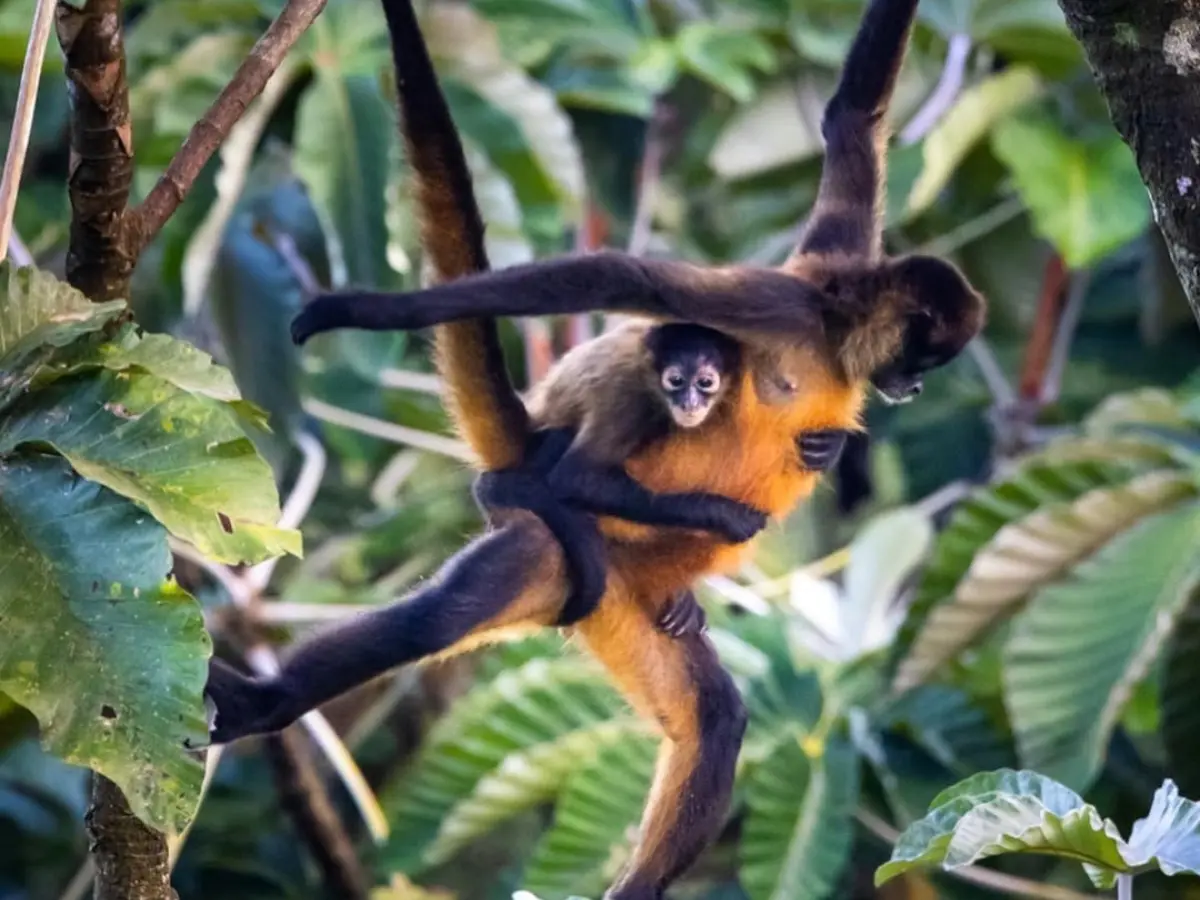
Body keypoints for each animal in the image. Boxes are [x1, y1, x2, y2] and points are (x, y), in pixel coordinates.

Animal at [202, 2, 986, 899]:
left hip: (632, 604)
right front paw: (364, 309)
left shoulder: (836, 259)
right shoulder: (781, 303)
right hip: (557, 548)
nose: (912, 388)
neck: (831, 340)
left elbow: (854, 116)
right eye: (925, 358)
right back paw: (270, 704)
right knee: (447, 613)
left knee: (717, 720)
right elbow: (627, 278)